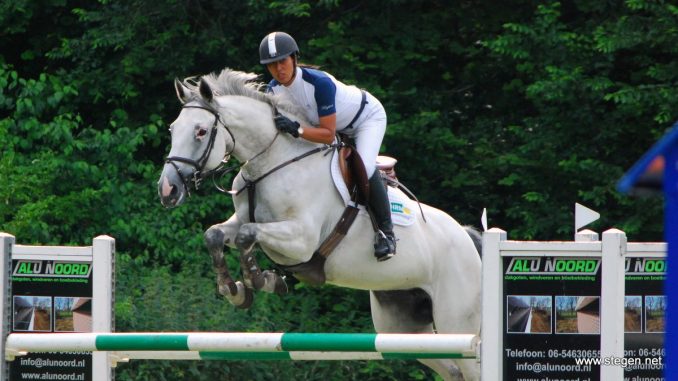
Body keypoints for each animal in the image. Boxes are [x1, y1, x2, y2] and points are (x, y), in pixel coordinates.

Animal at [158, 69, 484, 380]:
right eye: (173, 129)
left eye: (201, 131)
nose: (167, 190)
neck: (272, 162)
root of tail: (467, 238)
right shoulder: (240, 221)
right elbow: (214, 234)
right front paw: (234, 290)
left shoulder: (301, 240)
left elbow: (247, 237)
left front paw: (261, 280)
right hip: (403, 326)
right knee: (453, 370)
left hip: (458, 322)